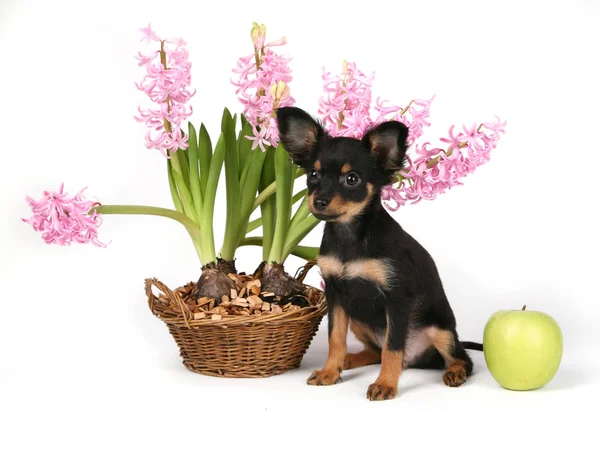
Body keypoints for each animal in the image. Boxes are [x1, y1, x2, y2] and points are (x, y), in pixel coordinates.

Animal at [276, 106, 482, 400]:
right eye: (313, 175)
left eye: (352, 179)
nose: (319, 201)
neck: (350, 237)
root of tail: (417, 360)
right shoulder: (336, 295)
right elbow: (335, 339)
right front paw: (330, 371)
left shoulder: (397, 298)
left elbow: (392, 348)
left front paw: (385, 384)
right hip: (358, 320)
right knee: (374, 350)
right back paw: (348, 360)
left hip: (440, 330)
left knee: (461, 358)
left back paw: (455, 372)